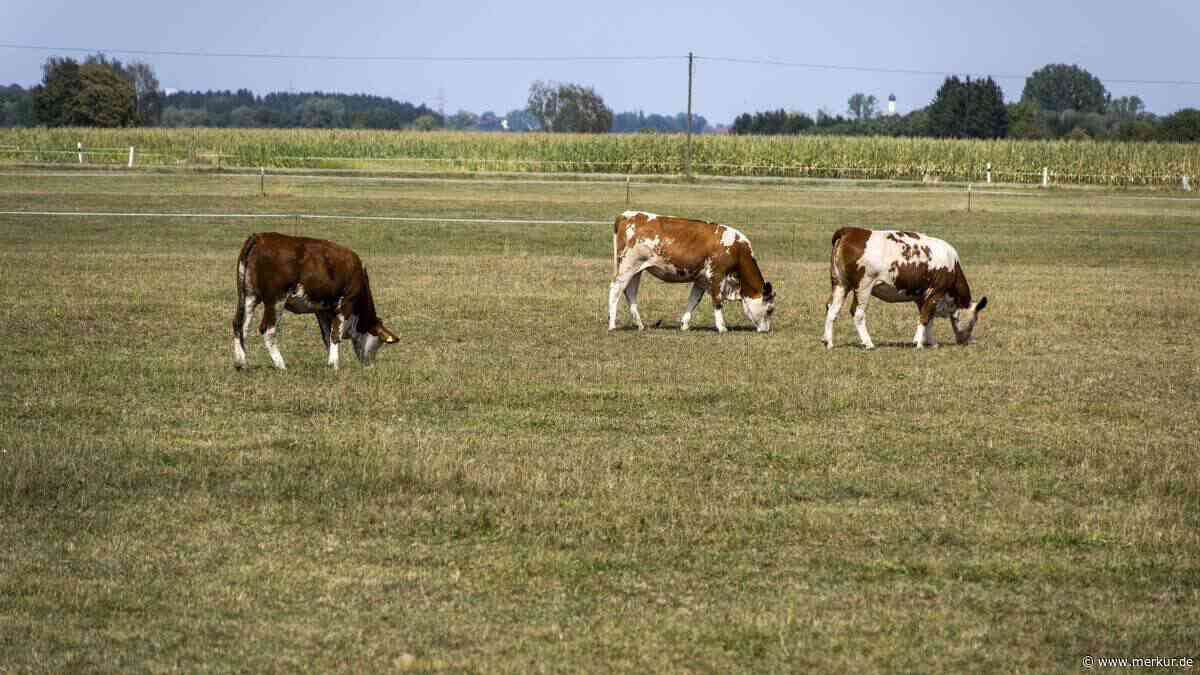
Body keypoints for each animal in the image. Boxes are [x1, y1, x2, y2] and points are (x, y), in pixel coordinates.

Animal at [232, 232, 399, 370]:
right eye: (379, 343)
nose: (370, 366)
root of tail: (260, 237)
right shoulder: (346, 304)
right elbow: (335, 334)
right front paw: (335, 365)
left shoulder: (322, 310)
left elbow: (327, 336)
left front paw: (331, 362)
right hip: (276, 299)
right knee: (268, 329)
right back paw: (281, 365)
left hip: (249, 296)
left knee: (241, 326)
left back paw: (242, 364)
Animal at [609, 211, 775, 333]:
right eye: (769, 310)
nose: (766, 331)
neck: (738, 251)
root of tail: (627, 215)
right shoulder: (716, 275)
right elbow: (717, 301)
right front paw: (722, 327)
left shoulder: (701, 279)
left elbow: (693, 301)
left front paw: (684, 324)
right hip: (627, 266)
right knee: (615, 289)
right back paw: (612, 325)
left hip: (636, 269)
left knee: (630, 292)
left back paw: (640, 325)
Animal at [824, 227, 987, 350]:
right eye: (973, 322)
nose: (966, 341)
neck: (952, 264)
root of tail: (850, 230)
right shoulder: (935, 292)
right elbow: (925, 317)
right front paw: (919, 344)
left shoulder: (922, 297)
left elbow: (928, 319)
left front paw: (930, 342)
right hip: (864, 286)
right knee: (857, 314)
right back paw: (868, 343)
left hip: (840, 284)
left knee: (832, 309)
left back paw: (828, 342)